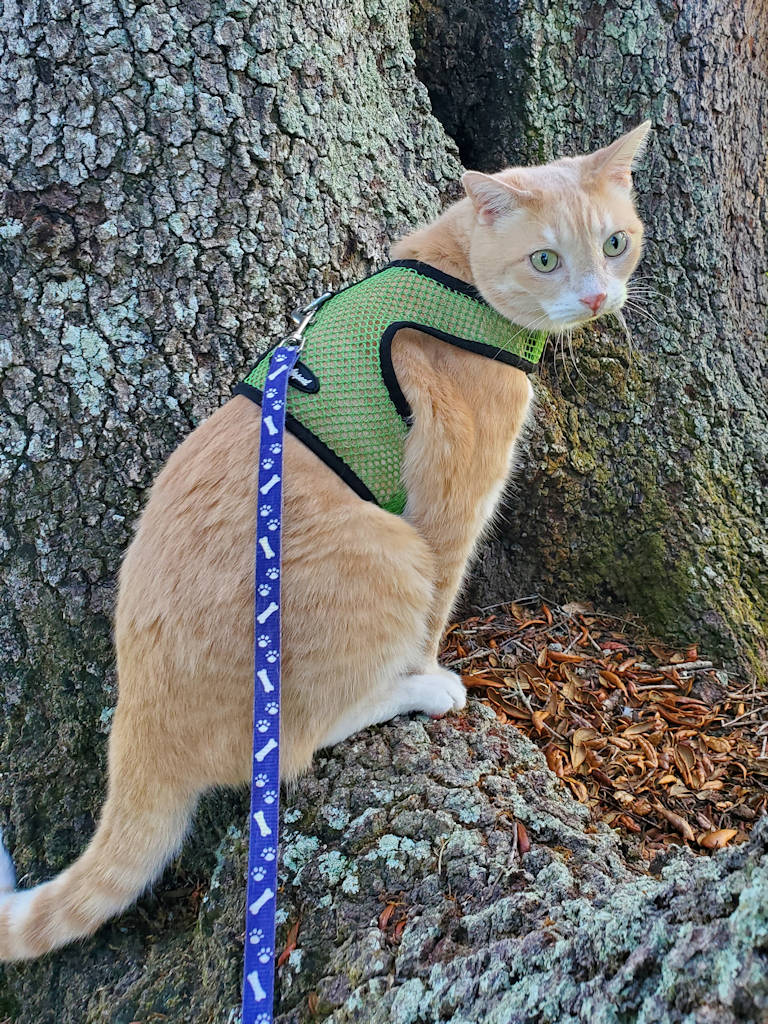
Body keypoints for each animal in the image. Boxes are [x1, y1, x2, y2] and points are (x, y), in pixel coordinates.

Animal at [0, 122, 650, 961]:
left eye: (614, 243)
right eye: (545, 260)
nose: (598, 294)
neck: (456, 286)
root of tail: (142, 726)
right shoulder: (450, 508)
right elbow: (436, 612)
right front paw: (430, 670)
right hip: (385, 557)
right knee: (293, 747)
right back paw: (416, 692)